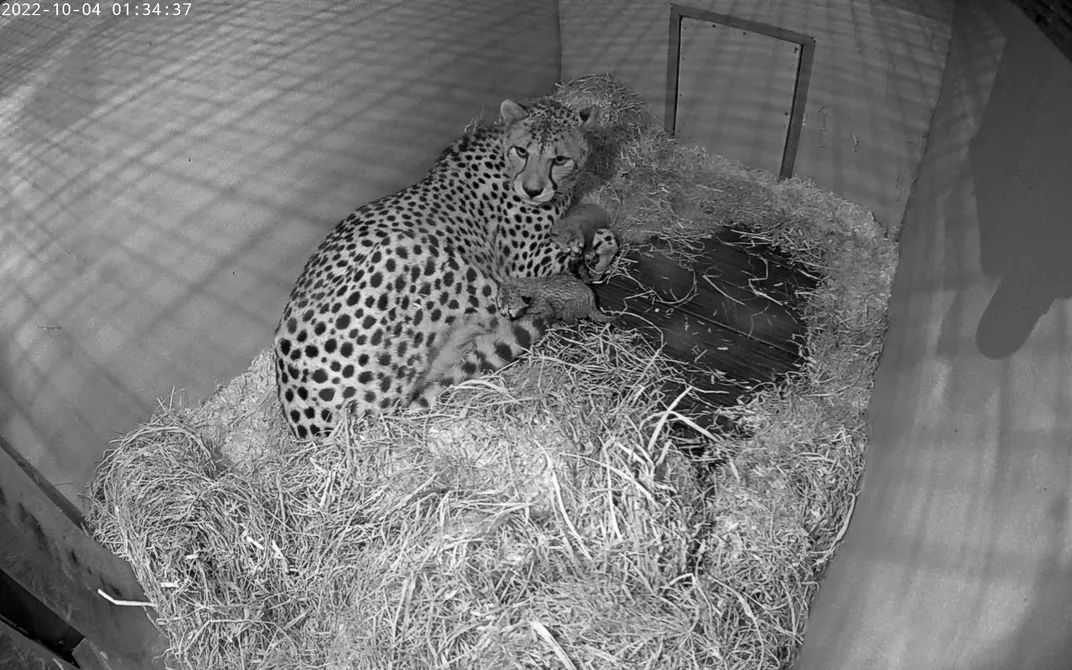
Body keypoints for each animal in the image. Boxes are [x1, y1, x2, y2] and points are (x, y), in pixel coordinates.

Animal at [272, 95, 617, 439]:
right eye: (523, 151)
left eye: (560, 159)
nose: (532, 190)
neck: (502, 152)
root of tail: (314, 425)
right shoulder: (525, 263)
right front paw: (590, 240)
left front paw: (595, 250)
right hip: (430, 259)